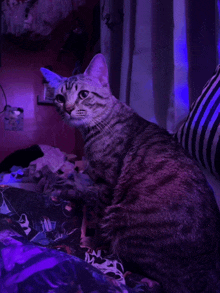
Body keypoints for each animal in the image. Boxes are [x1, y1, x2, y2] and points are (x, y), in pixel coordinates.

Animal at [40, 54, 220, 292]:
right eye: (60, 98)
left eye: (84, 94)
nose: (68, 108)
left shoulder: (106, 184)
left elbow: (95, 211)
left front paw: (92, 239)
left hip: (123, 224)